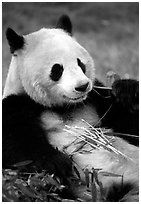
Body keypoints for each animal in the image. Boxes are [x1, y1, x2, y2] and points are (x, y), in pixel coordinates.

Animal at [2, 15, 139, 201]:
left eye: (80, 63)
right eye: (57, 69)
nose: (82, 86)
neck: (64, 107)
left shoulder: (96, 99)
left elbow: (130, 127)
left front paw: (127, 91)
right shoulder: (16, 105)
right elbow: (17, 145)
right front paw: (56, 163)